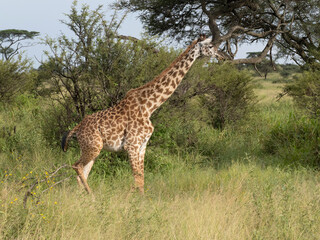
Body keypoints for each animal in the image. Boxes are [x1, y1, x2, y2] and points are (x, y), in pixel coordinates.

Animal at [62, 34, 222, 194]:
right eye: (210, 46)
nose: (221, 56)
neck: (149, 107)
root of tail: (77, 128)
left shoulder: (142, 146)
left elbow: (141, 179)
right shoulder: (132, 145)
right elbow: (138, 179)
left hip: (93, 148)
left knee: (83, 173)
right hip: (93, 146)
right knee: (77, 166)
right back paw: (92, 196)